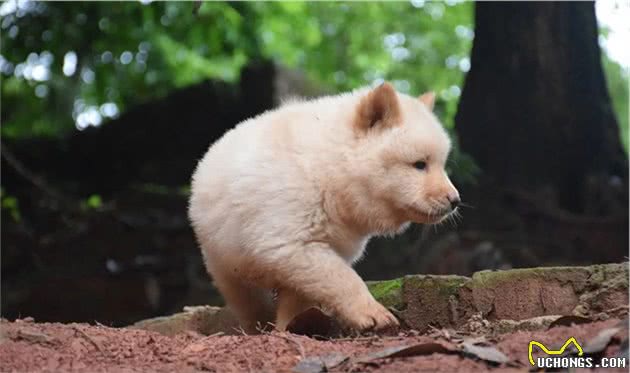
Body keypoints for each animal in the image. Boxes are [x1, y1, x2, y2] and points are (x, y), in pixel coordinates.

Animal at [188, 83, 460, 332]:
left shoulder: (339, 236)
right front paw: (374, 315)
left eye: (442, 164)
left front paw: (293, 325)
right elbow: (335, 273)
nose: (454, 200)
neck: (329, 172)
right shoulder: (290, 221)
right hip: (224, 249)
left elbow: (301, 289)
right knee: (244, 294)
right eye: (419, 164)